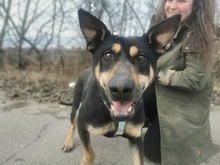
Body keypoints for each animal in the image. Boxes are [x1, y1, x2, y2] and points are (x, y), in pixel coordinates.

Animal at [62, 9, 180, 165]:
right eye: (108, 55)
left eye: (141, 57)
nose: (121, 89)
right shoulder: (83, 127)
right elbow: (90, 152)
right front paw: (86, 160)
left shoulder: (136, 138)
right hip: (76, 105)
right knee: (72, 124)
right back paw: (68, 142)